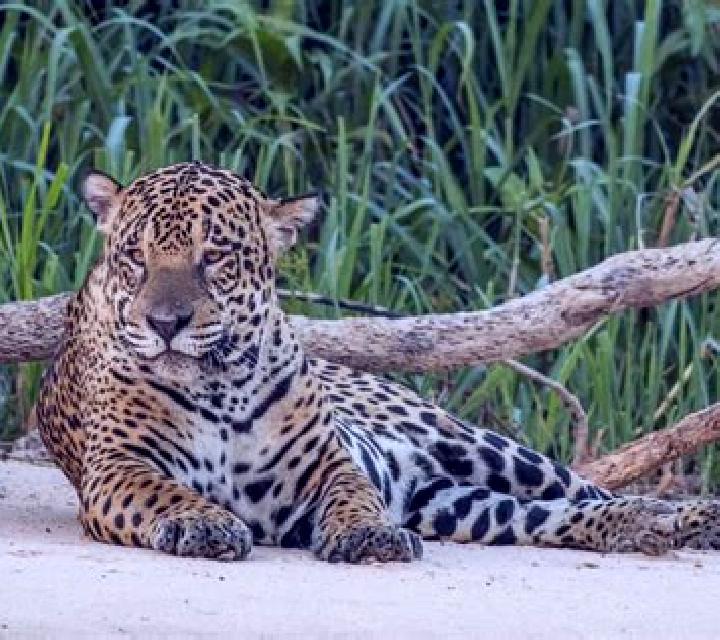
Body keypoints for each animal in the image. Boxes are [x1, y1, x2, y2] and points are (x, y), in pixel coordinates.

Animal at [34, 161, 720, 563]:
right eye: (135, 258)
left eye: (216, 256)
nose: (164, 324)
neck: (219, 384)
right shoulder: (117, 469)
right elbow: (166, 492)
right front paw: (204, 524)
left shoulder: (327, 461)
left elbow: (354, 495)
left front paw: (370, 534)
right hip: (460, 505)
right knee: (554, 516)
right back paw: (649, 526)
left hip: (481, 446)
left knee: (584, 488)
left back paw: (688, 518)